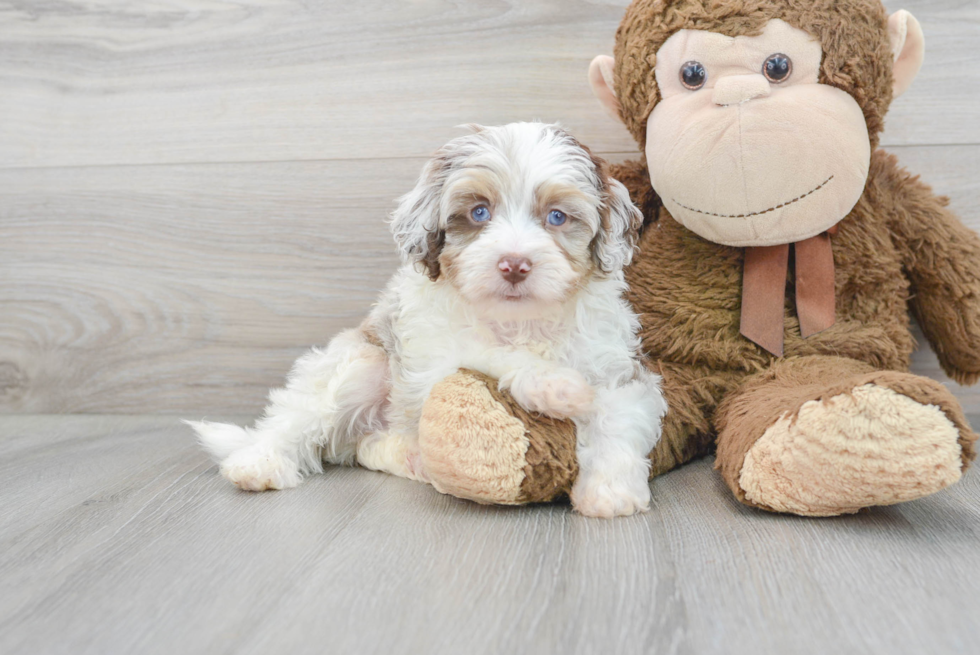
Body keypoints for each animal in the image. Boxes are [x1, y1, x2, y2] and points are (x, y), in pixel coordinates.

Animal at [189, 120, 668, 516]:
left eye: (556, 216)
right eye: (479, 212)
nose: (514, 265)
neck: (521, 320)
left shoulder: (620, 367)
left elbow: (619, 416)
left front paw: (610, 493)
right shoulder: (434, 350)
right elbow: (491, 352)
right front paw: (555, 384)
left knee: (367, 446)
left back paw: (409, 456)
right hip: (363, 363)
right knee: (298, 415)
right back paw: (259, 461)